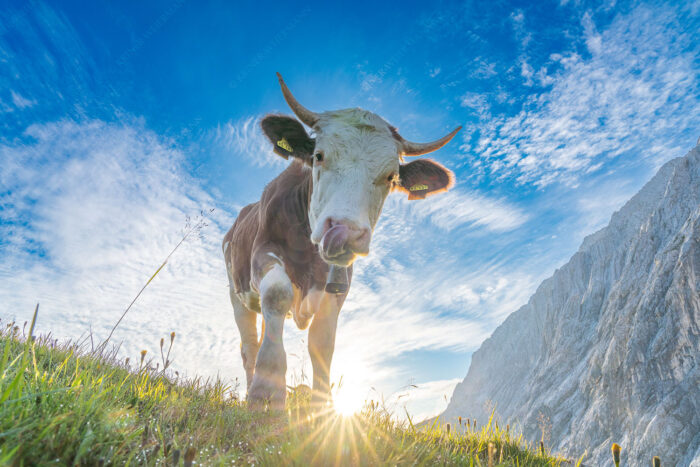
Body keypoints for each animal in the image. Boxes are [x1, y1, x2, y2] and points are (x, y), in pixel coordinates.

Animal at [224, 74, 460, 410]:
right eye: (318, 156)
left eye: (391, 177)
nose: (345, 233)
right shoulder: (263, 253)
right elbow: (278, 295)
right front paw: (266, 394)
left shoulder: (340, 282)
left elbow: (322, 340)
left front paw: (321, 409)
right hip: (236, 293)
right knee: (248, 346)